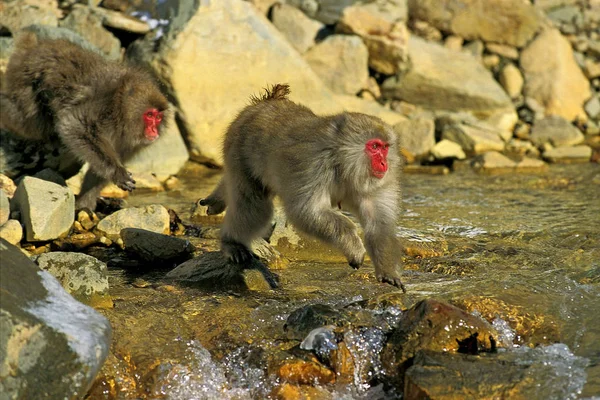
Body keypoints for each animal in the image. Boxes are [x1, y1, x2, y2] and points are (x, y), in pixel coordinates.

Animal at [200, 84, 404, 290]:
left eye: (385, 147)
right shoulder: (312, 166)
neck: (342, 163)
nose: (384, 164)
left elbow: (378, 223)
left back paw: (217, 199)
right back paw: (232, 242)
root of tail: (264, 103)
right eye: (374, 146)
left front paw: (387, 270)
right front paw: (354, 247)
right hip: (237, 147)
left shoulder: (379, 182)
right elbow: (305, 212)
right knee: (254, 206)